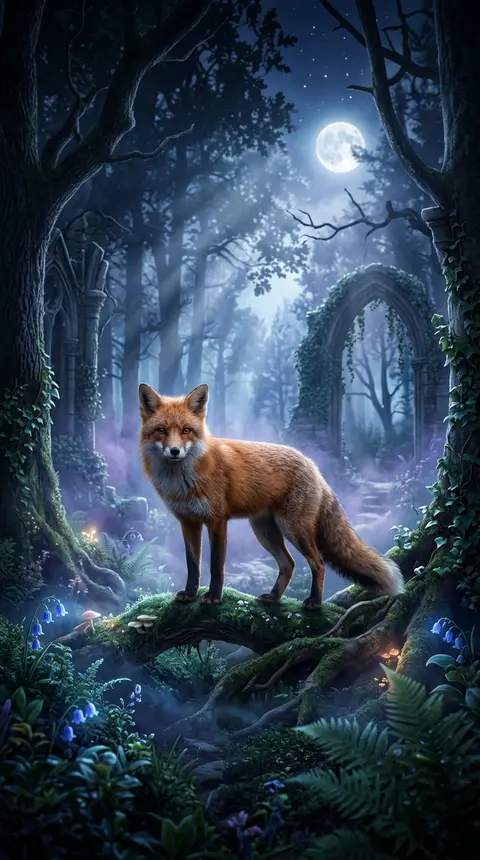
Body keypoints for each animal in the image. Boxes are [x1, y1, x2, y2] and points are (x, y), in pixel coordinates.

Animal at [138, 382, 404, 609]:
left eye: (186, 431)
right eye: (161, 430)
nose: (174, 451)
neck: (184, 480)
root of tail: (313, 466)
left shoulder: (217, 521)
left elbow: (216, 566)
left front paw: (214, 597)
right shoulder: (188, 523)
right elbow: (193, 564)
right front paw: (190, 593)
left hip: (293, 529)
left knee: (317, 563)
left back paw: (314, 603)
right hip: (265, 531)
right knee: (289, 564)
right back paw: (274, 598)